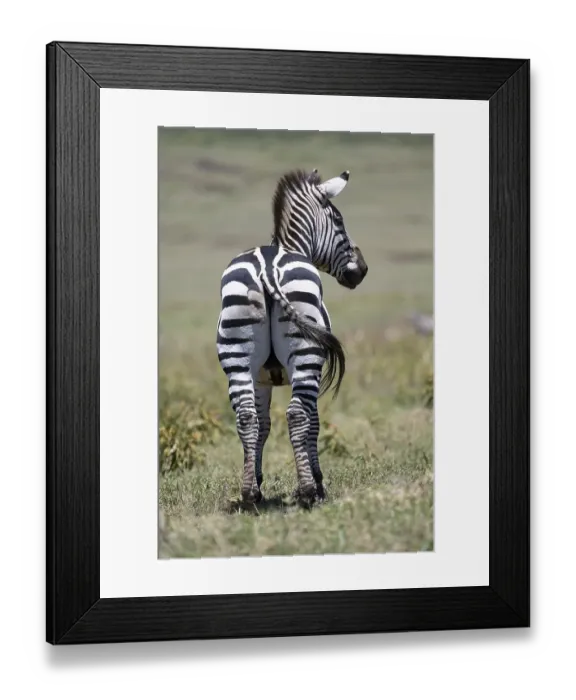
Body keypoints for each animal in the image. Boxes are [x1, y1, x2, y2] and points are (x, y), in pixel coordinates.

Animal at [216, 168, 368, 507]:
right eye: (338, 220)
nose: (362, 270)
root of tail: (267, 268)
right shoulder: (314, 370)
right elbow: (314, 424)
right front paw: (318, 483)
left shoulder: (261, 378)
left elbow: (263, 425)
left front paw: (257, 482)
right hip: (306, 356)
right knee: (298, 416)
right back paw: (308, 492)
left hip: (237, 355)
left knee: (246, 417)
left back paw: (248, 496)